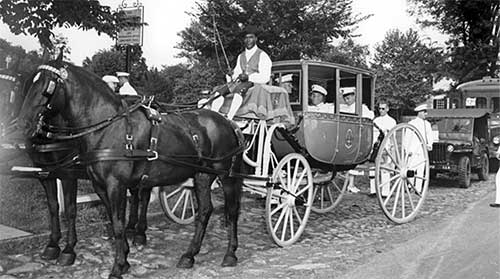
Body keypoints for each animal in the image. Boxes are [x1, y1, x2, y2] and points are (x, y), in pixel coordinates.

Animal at [18, 57, 245, 279]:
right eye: (29, 84)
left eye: (48, 86)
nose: (23, 126)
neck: (107, 127)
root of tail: (228, 122)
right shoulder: (94, 185)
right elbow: (108, 220)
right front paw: (124, 257)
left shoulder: (108, 184)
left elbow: (112, 222)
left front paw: (117, 265)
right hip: (202, 175)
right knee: (205, 211)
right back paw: (189, 255)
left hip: (226, 175)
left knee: (233, 210)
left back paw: (230, 254)